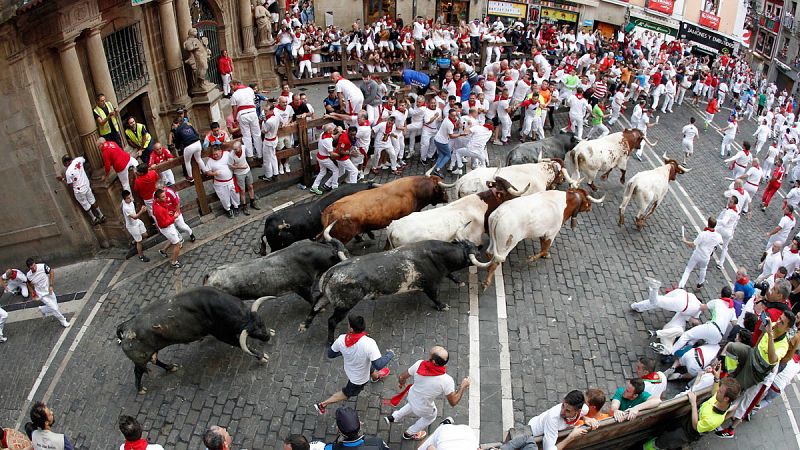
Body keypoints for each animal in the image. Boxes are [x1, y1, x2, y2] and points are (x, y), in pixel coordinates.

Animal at [116, 288, 276, 394]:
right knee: (138, 371)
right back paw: (140, 389)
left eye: (262, 323)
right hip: (141, 360)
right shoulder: (221, 334)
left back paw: (170, 367)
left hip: (152, 352)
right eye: (254, 333)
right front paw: (262, 356)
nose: (267, 336)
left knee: (155, 361)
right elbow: (238, 343)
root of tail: (125, 327)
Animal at [300, 241, 484, 342]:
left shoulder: (443, 272)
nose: (480, 250)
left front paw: (460, 282)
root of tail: (332, 271)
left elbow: (452, 275)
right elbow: (435, 296)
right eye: (473, 252)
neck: (437, 255)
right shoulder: (431, 284)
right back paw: (329, 341)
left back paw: (304, 325)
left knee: (315, 306)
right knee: (331, 320)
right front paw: (442, 306)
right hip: (344, 305)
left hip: (326, 296)